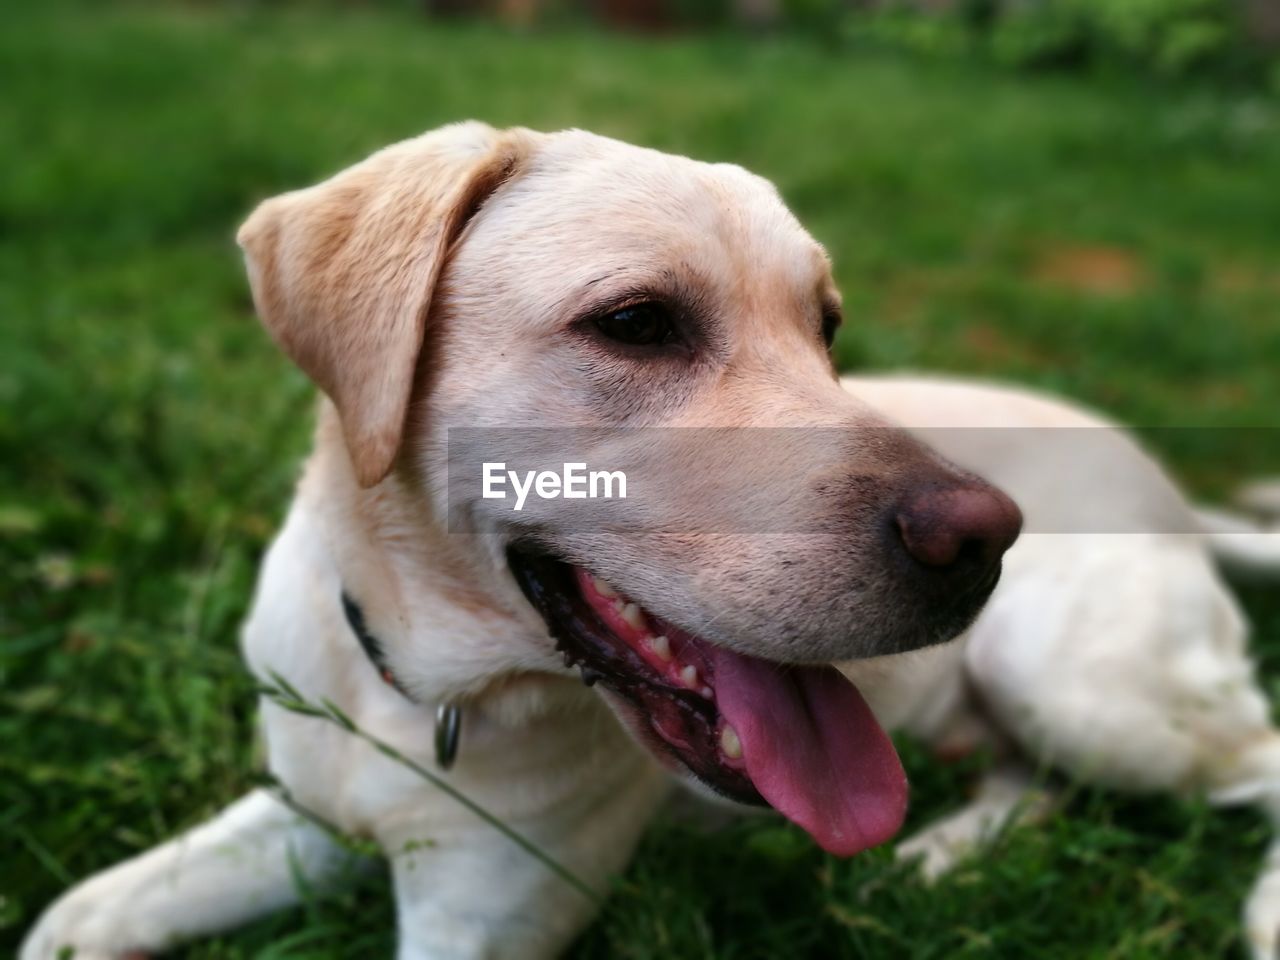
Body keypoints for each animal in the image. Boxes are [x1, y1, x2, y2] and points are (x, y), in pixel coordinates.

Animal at [20, 124, 1024, 957]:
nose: (984, 539)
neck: (412, 694)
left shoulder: (473, 922)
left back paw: (937, 854)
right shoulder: (305, 815)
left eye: (827, 329)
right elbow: (102, 903)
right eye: (635, 324)